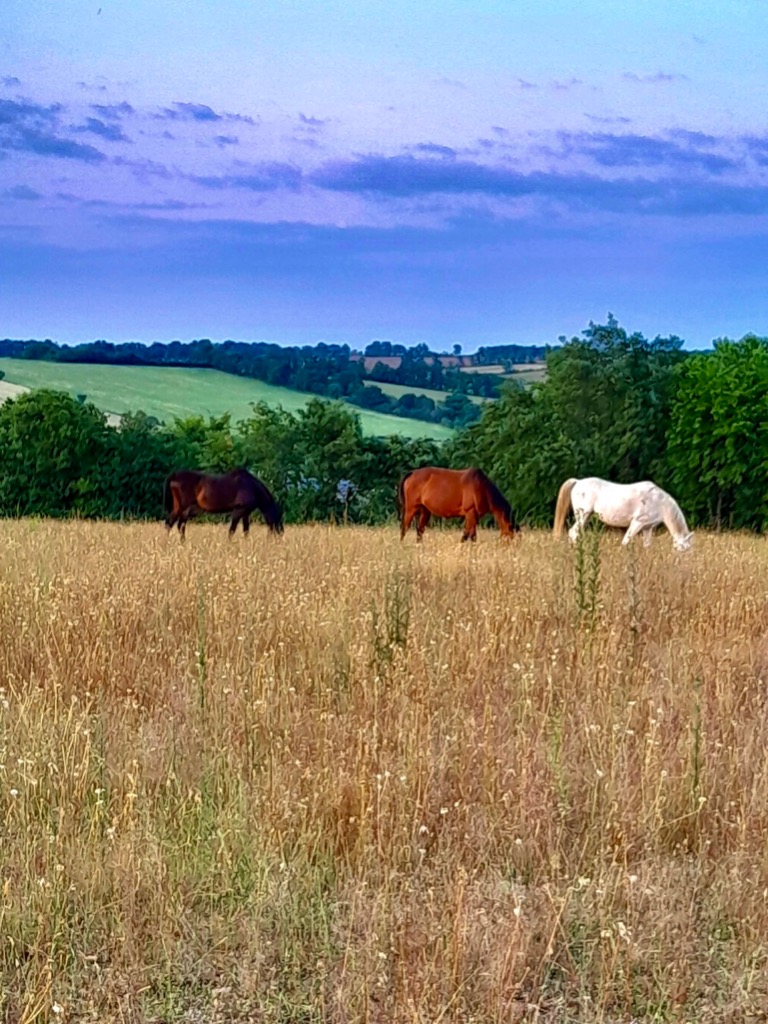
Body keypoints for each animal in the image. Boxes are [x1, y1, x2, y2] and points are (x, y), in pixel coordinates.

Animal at [553, 476, 693, 551]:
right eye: (684, 549)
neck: (659, 502)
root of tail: (578, 481)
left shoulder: (648, 528)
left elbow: (647, 546)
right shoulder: (637, 522)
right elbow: (626, 541)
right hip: (583, 515)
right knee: (573, 532)